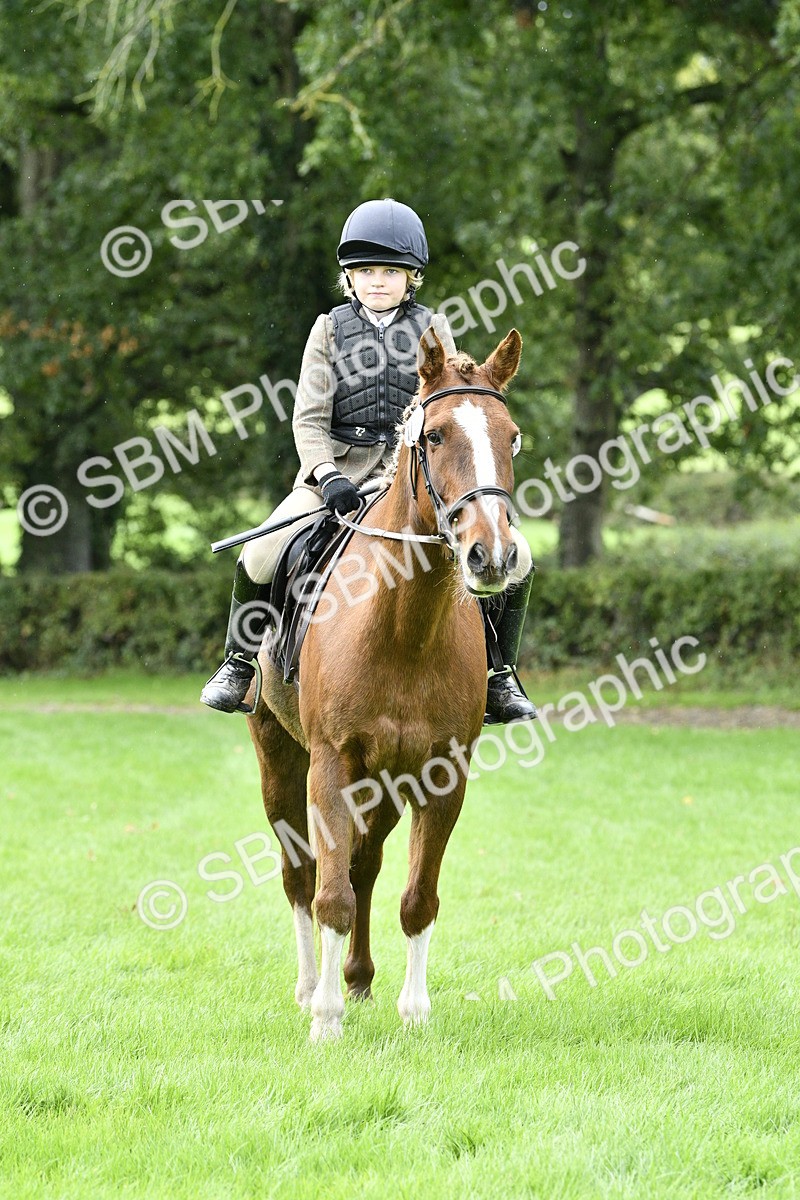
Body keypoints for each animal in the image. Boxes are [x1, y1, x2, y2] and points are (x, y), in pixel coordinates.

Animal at [247, 325, 526, 1041]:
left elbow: (417, 897)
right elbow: (330, 895)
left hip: (387, 782)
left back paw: (360, 977)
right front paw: (325, 1020)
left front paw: (414, 1011)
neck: (403, 624)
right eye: (436, 436)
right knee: (301, 875)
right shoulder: (329, 764)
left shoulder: (441, 775)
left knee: (367, 863)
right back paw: (311, 986)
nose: (494, 554)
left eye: (511, 437)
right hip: (279, 756)